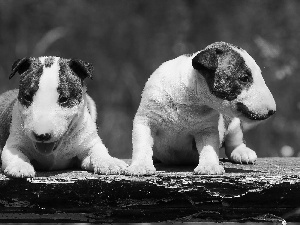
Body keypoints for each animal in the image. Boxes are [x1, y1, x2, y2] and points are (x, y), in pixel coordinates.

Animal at [126, 42, 276, 176]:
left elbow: (208, 147)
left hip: (233, 124)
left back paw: (242, 152)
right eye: (244, 78)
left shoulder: (206, 129)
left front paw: (209, 166)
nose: (273, 111)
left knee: (234, 141)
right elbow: (142, 144)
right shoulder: (146, 120)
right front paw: (140, 166)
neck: (189, 94)